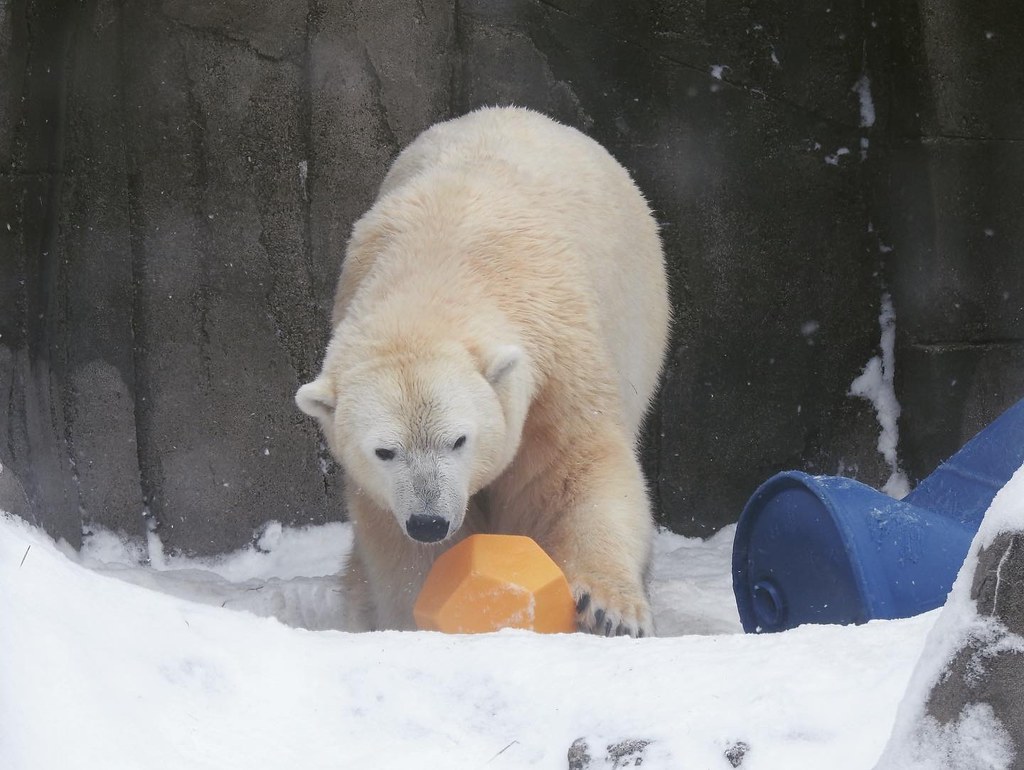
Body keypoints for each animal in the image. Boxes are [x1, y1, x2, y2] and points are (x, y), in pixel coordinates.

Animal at [296, 106, 670, 637]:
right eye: (384, 451)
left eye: (459, 440)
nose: (429, 522)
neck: (437, 266)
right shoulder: (382, 488)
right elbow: (396, 544)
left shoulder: (558, 365)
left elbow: (579, 471)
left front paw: (610, 611)